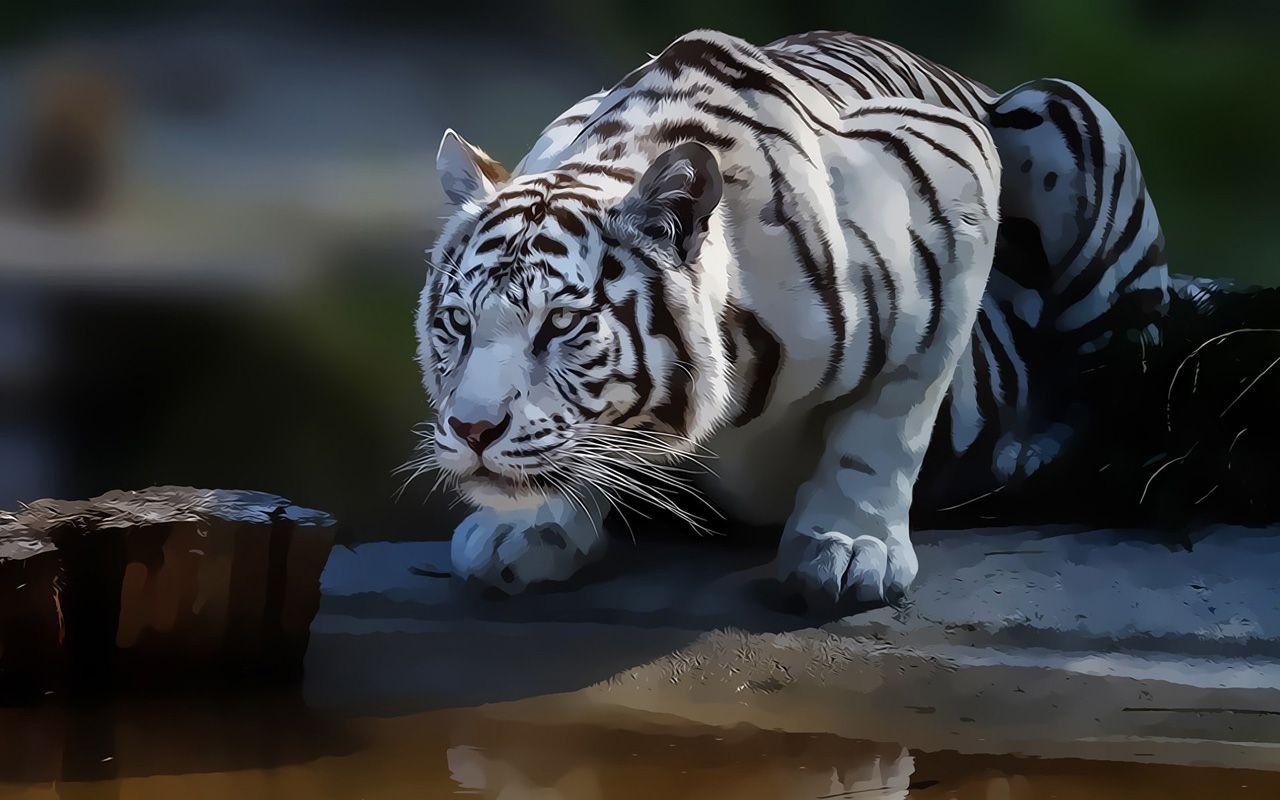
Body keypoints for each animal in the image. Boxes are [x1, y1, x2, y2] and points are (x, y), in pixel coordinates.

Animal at [414, 29, 1169, 609]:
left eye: (561, 326)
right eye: (457, 323)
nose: (473, 431)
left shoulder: (956, 182)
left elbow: (889, 419)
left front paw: (851, 547)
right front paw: (525, 527)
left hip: (1065, 119)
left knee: (1119, 385)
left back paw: (1029, 452)